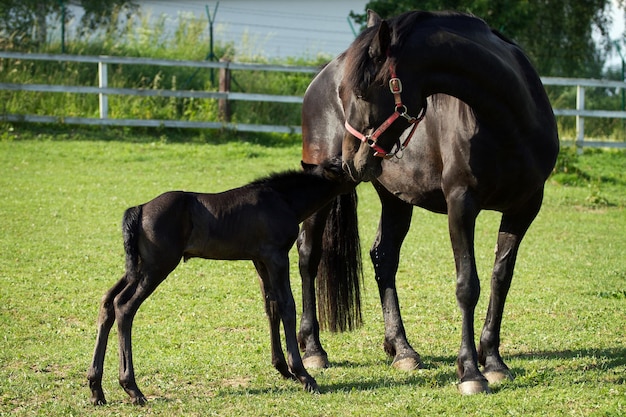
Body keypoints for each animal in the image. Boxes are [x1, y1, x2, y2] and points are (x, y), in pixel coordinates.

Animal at [86, 158, 356, 404]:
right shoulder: (277, 256)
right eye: (343, 167)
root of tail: (140, 208)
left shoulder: (260, 260)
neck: (282, 199)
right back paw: (132, 388)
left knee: (108, 301)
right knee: (124, 306)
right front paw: (303, 376)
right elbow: (287, 306)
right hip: (157, 267)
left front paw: (282, 368)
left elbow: (271, 306)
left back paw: (96, 388)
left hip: (138, 267)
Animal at [294, 9, 560, 394]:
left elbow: (500, 280)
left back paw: (402, 350)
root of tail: (319, 78)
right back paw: (313, 348)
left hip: (395, 198)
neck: (508, 121)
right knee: (308, 255)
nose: (349, 161)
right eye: (343, 95)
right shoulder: (461, 204)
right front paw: (470, 372)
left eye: (361, 92)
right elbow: (467, 285)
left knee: (383, 257)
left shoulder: (524, 209)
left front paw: (494, 361)